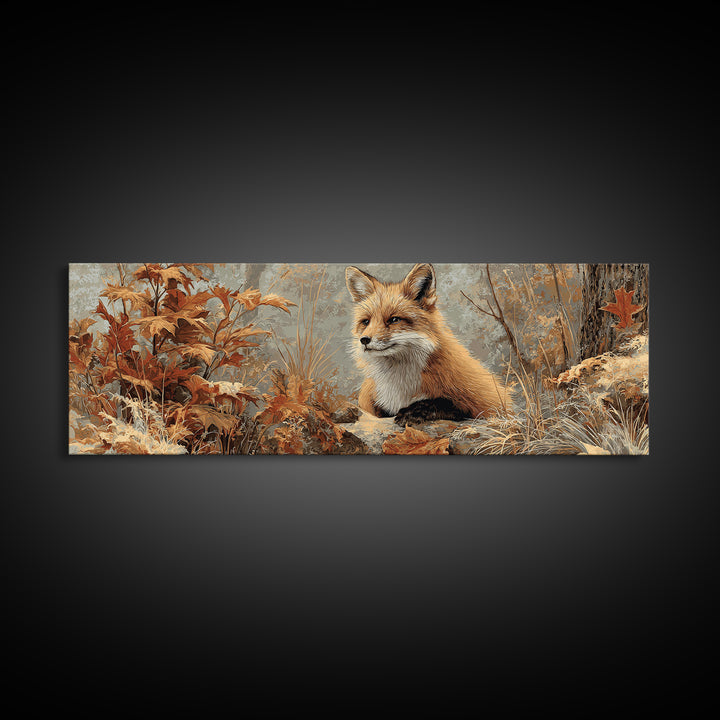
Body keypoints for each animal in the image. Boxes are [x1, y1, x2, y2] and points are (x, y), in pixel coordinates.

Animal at [345, 263, 511, 426]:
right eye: (366, 322)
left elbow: (445, 404)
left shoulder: (488, 402)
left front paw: (414, 412)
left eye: (394, 320)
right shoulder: (368, 402)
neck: (400, 384)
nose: (364, 340)